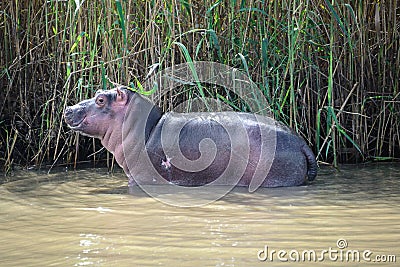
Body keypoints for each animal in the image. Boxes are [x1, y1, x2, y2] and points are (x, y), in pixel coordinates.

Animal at [64, 86, 318, 191]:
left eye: (100, 100)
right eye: (98, 93)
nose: (68, 108)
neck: (146, 129)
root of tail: (301, 142)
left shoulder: (140, 179)